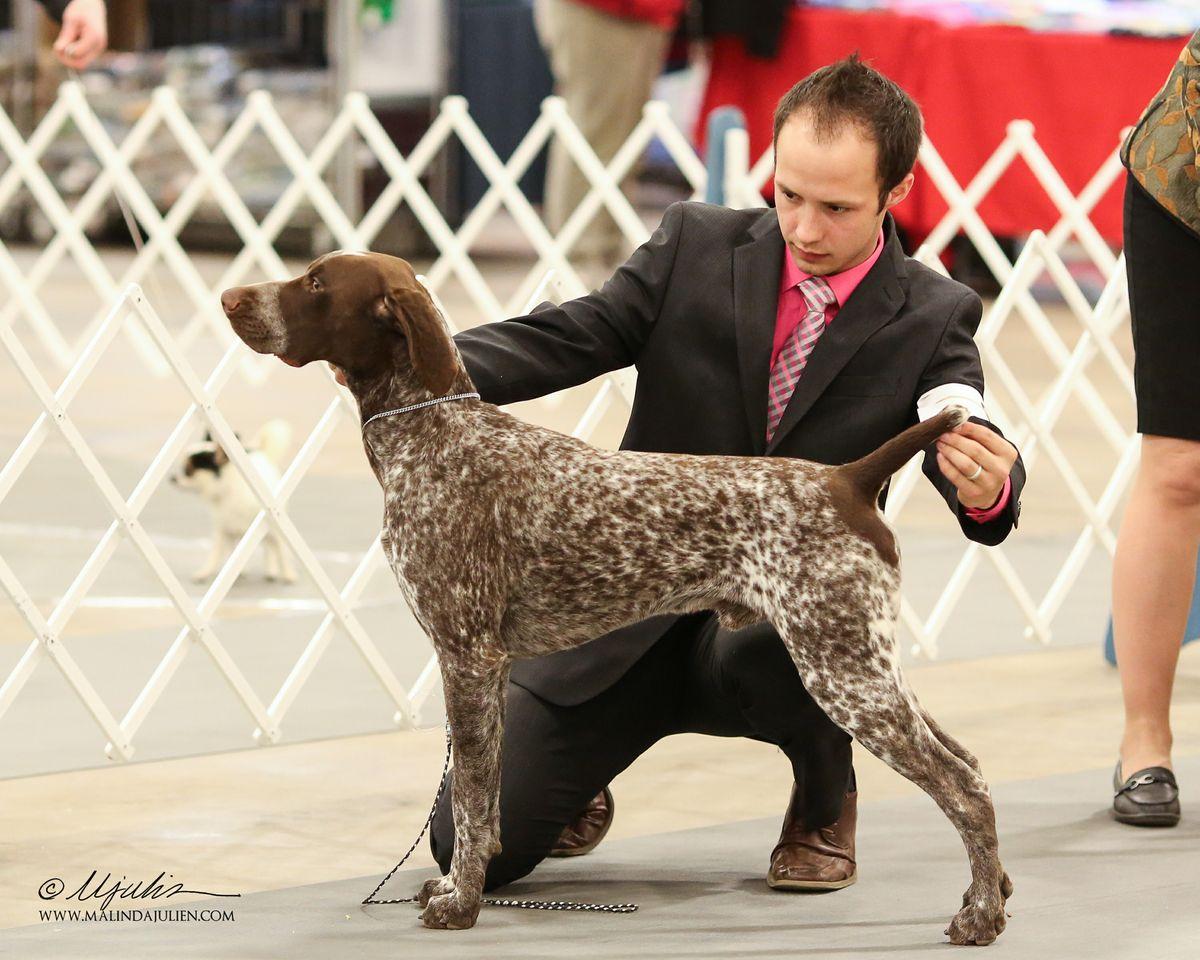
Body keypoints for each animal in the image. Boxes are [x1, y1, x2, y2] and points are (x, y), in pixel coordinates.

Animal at [171, 420, 297, 585]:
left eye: (188, 470)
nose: (172, 477)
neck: (226, 492)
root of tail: (257, 451)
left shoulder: (270, 525)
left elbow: (282, 554)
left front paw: (288, 574)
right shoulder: (224, 531)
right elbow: (220, 555)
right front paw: (206, 572)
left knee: (270, 547)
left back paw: (272, 570)